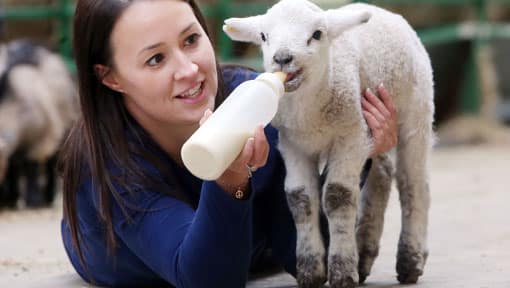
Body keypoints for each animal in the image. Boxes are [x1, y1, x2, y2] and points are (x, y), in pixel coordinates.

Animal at [223, 1, 434, 286]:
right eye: (264, 36)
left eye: (317, 34)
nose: (283, 58)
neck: (309, 114)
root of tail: (386, 13)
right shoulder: (293, 144)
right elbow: (299, 198)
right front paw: (311, 271)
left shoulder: (351, 136)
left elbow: (338, 195)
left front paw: (342, 271)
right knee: (381, 174)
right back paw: (364, 254)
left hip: (417, 109)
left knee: (413, 183)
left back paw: (410, 260)